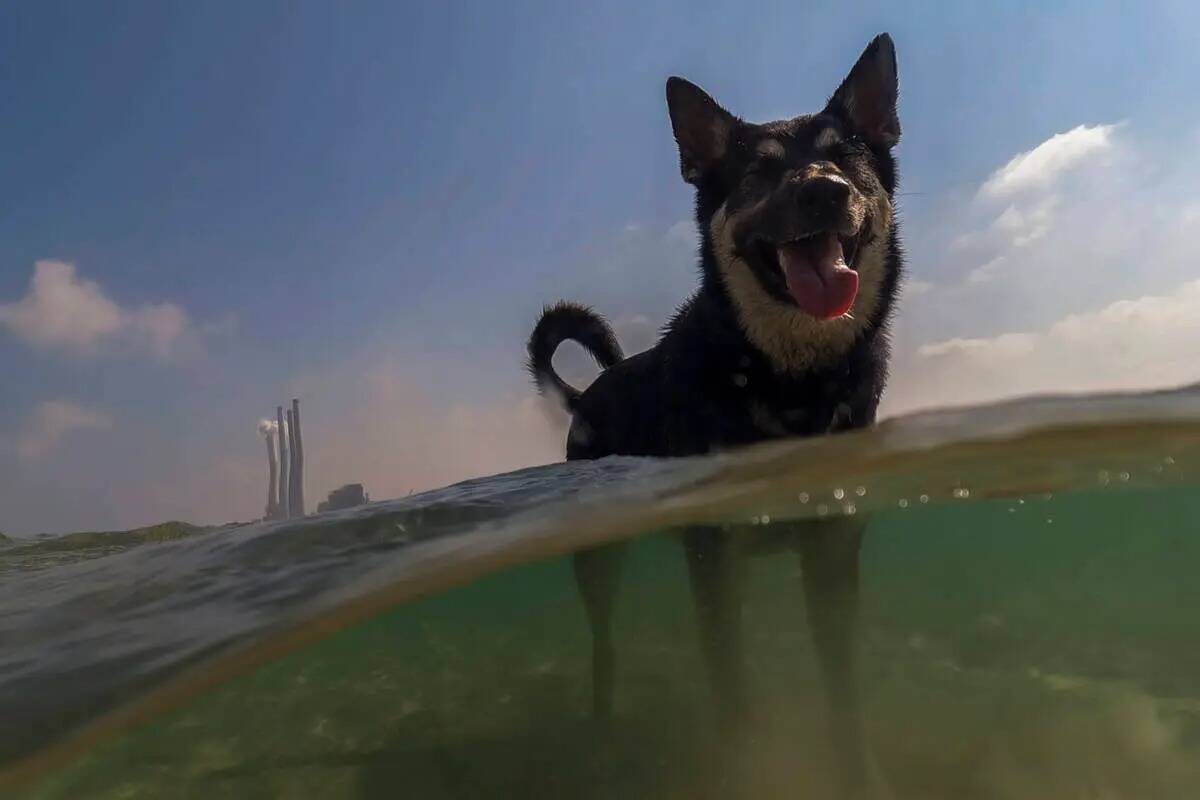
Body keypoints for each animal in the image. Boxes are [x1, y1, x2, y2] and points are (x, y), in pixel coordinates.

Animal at [525, 34, 902, 796]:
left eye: (847, 156)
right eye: (757, 172)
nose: (824, 191)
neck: (788, 377)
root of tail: (589, 392)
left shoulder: (830, 547)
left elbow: (841, 685)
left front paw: (859, 770)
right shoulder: (715, 555)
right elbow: (733, 688)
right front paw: (740, 764)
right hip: (599, 555)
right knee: (603, 642)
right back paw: (601, 722)